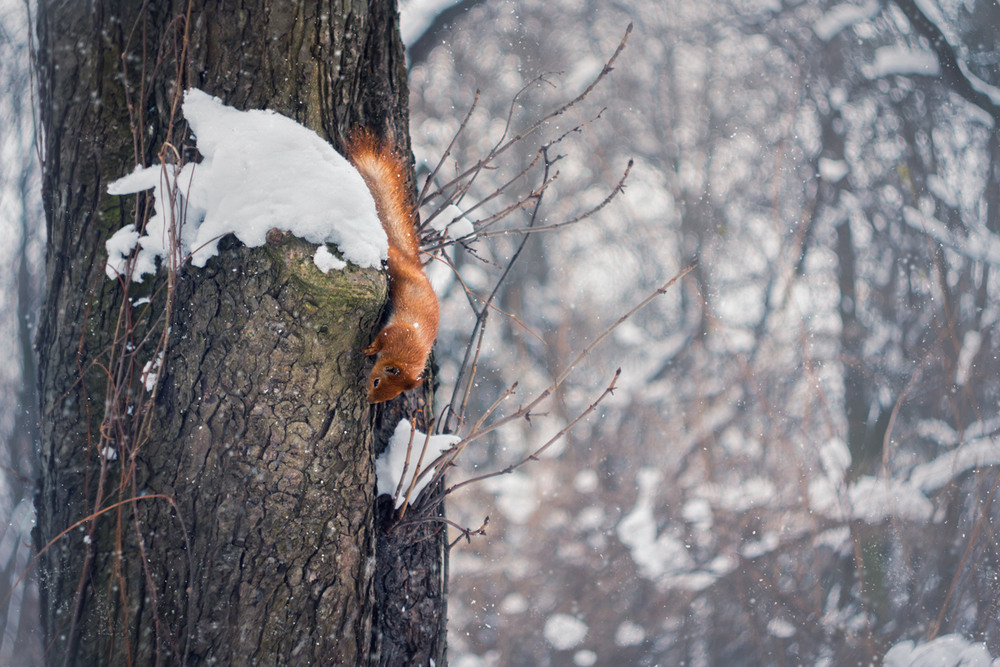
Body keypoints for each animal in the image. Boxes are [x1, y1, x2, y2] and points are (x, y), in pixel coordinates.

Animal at [344, 130, 438, 402]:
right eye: (376, 381)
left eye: (389, 396)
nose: (369, 400)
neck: (406, 355)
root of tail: (414, 267)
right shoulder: (395, 332)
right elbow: (382, 338)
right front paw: (372, 348)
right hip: (396, 268)